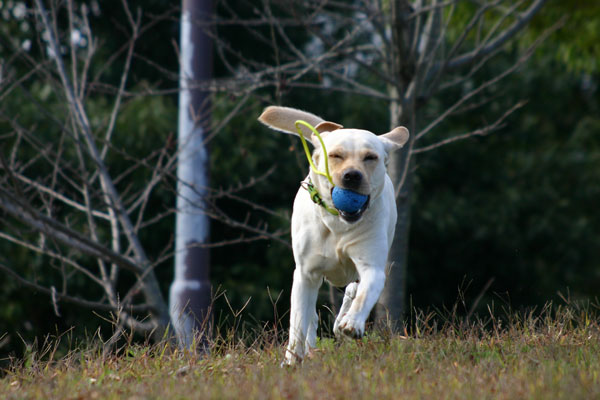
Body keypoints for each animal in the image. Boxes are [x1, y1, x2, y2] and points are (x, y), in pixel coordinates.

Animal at [256, 104, 408, 364]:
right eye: (336, 155)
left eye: (370, 157)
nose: (352, 176)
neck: (338, 224)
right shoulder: (305, 274)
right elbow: (298, 322)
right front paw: (291, 360)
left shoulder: (372, 267)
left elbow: (364, 293)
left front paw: (352, 323)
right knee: (310, 316)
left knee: (351, 291)